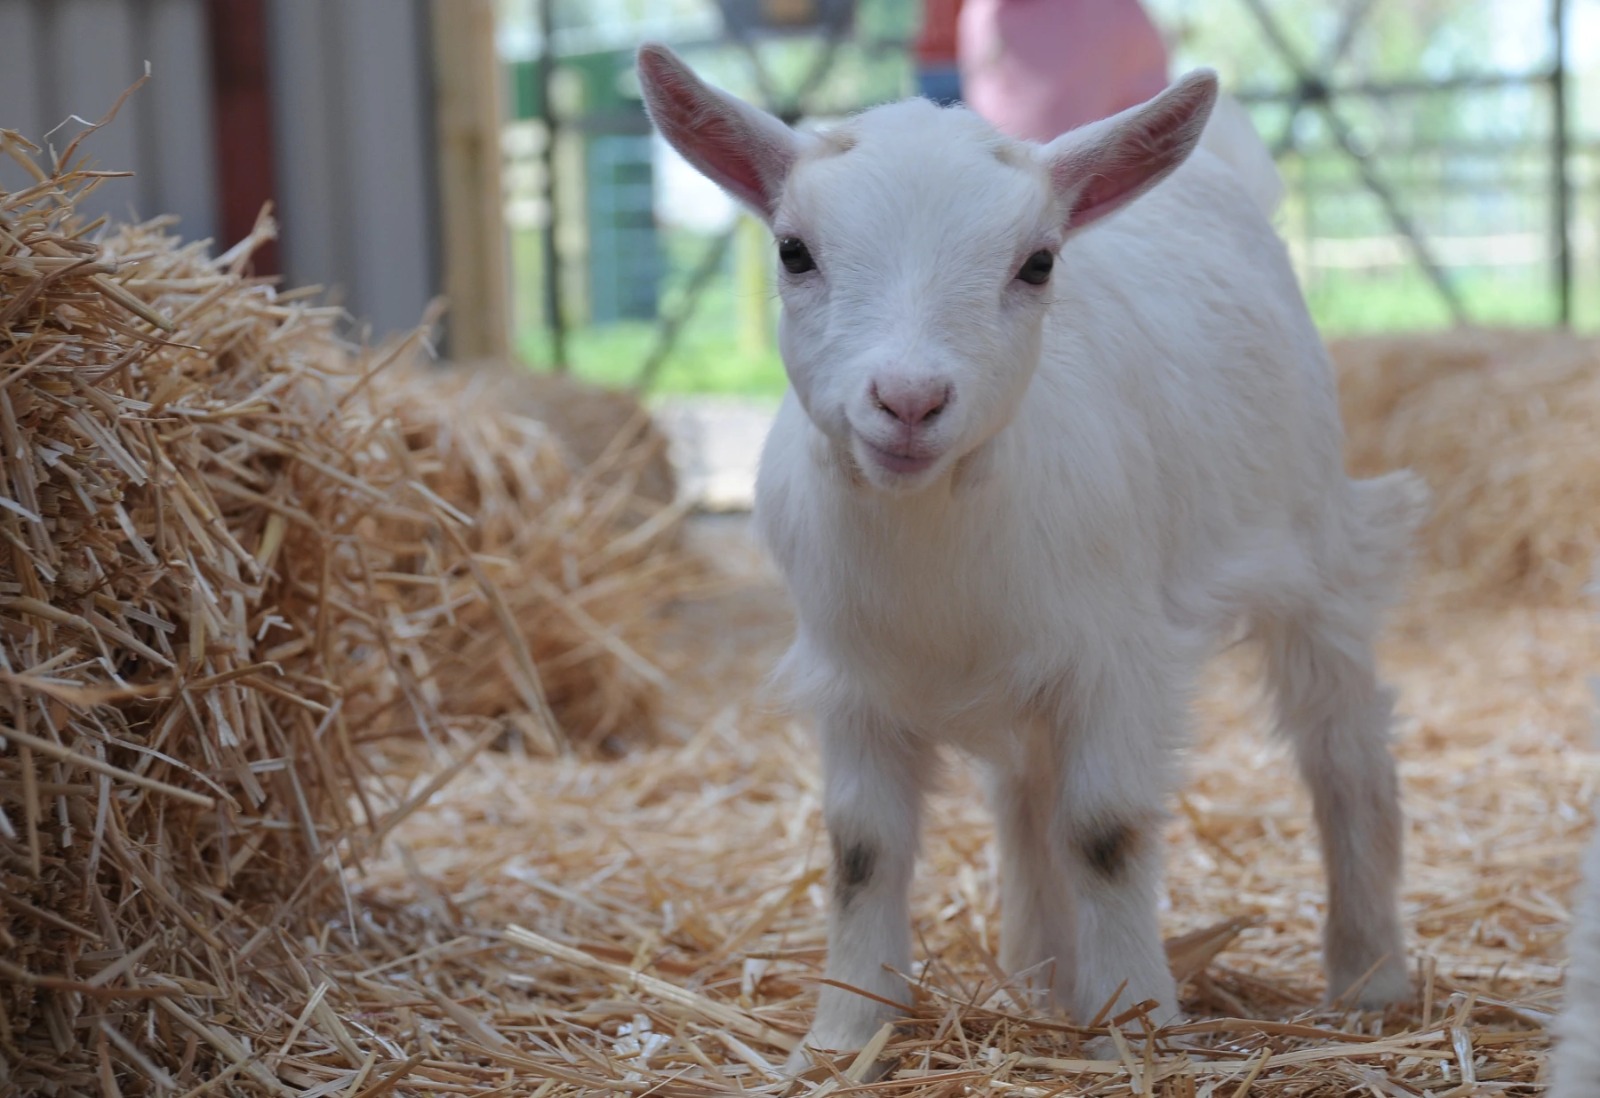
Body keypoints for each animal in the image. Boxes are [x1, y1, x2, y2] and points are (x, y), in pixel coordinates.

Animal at [636, 44, 1425, 1070]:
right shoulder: (852, 679)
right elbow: (862, 849)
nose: (909, 401)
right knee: (1025, 797)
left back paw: (1370, 978)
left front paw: (1136, 1026)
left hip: (1315, 546)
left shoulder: (1117, 658)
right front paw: (843, 1034)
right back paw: (1043, 977)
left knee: (1342, 748)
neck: (932, 537)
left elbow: (1103, 833)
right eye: (794, 251)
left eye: (1038, 263)